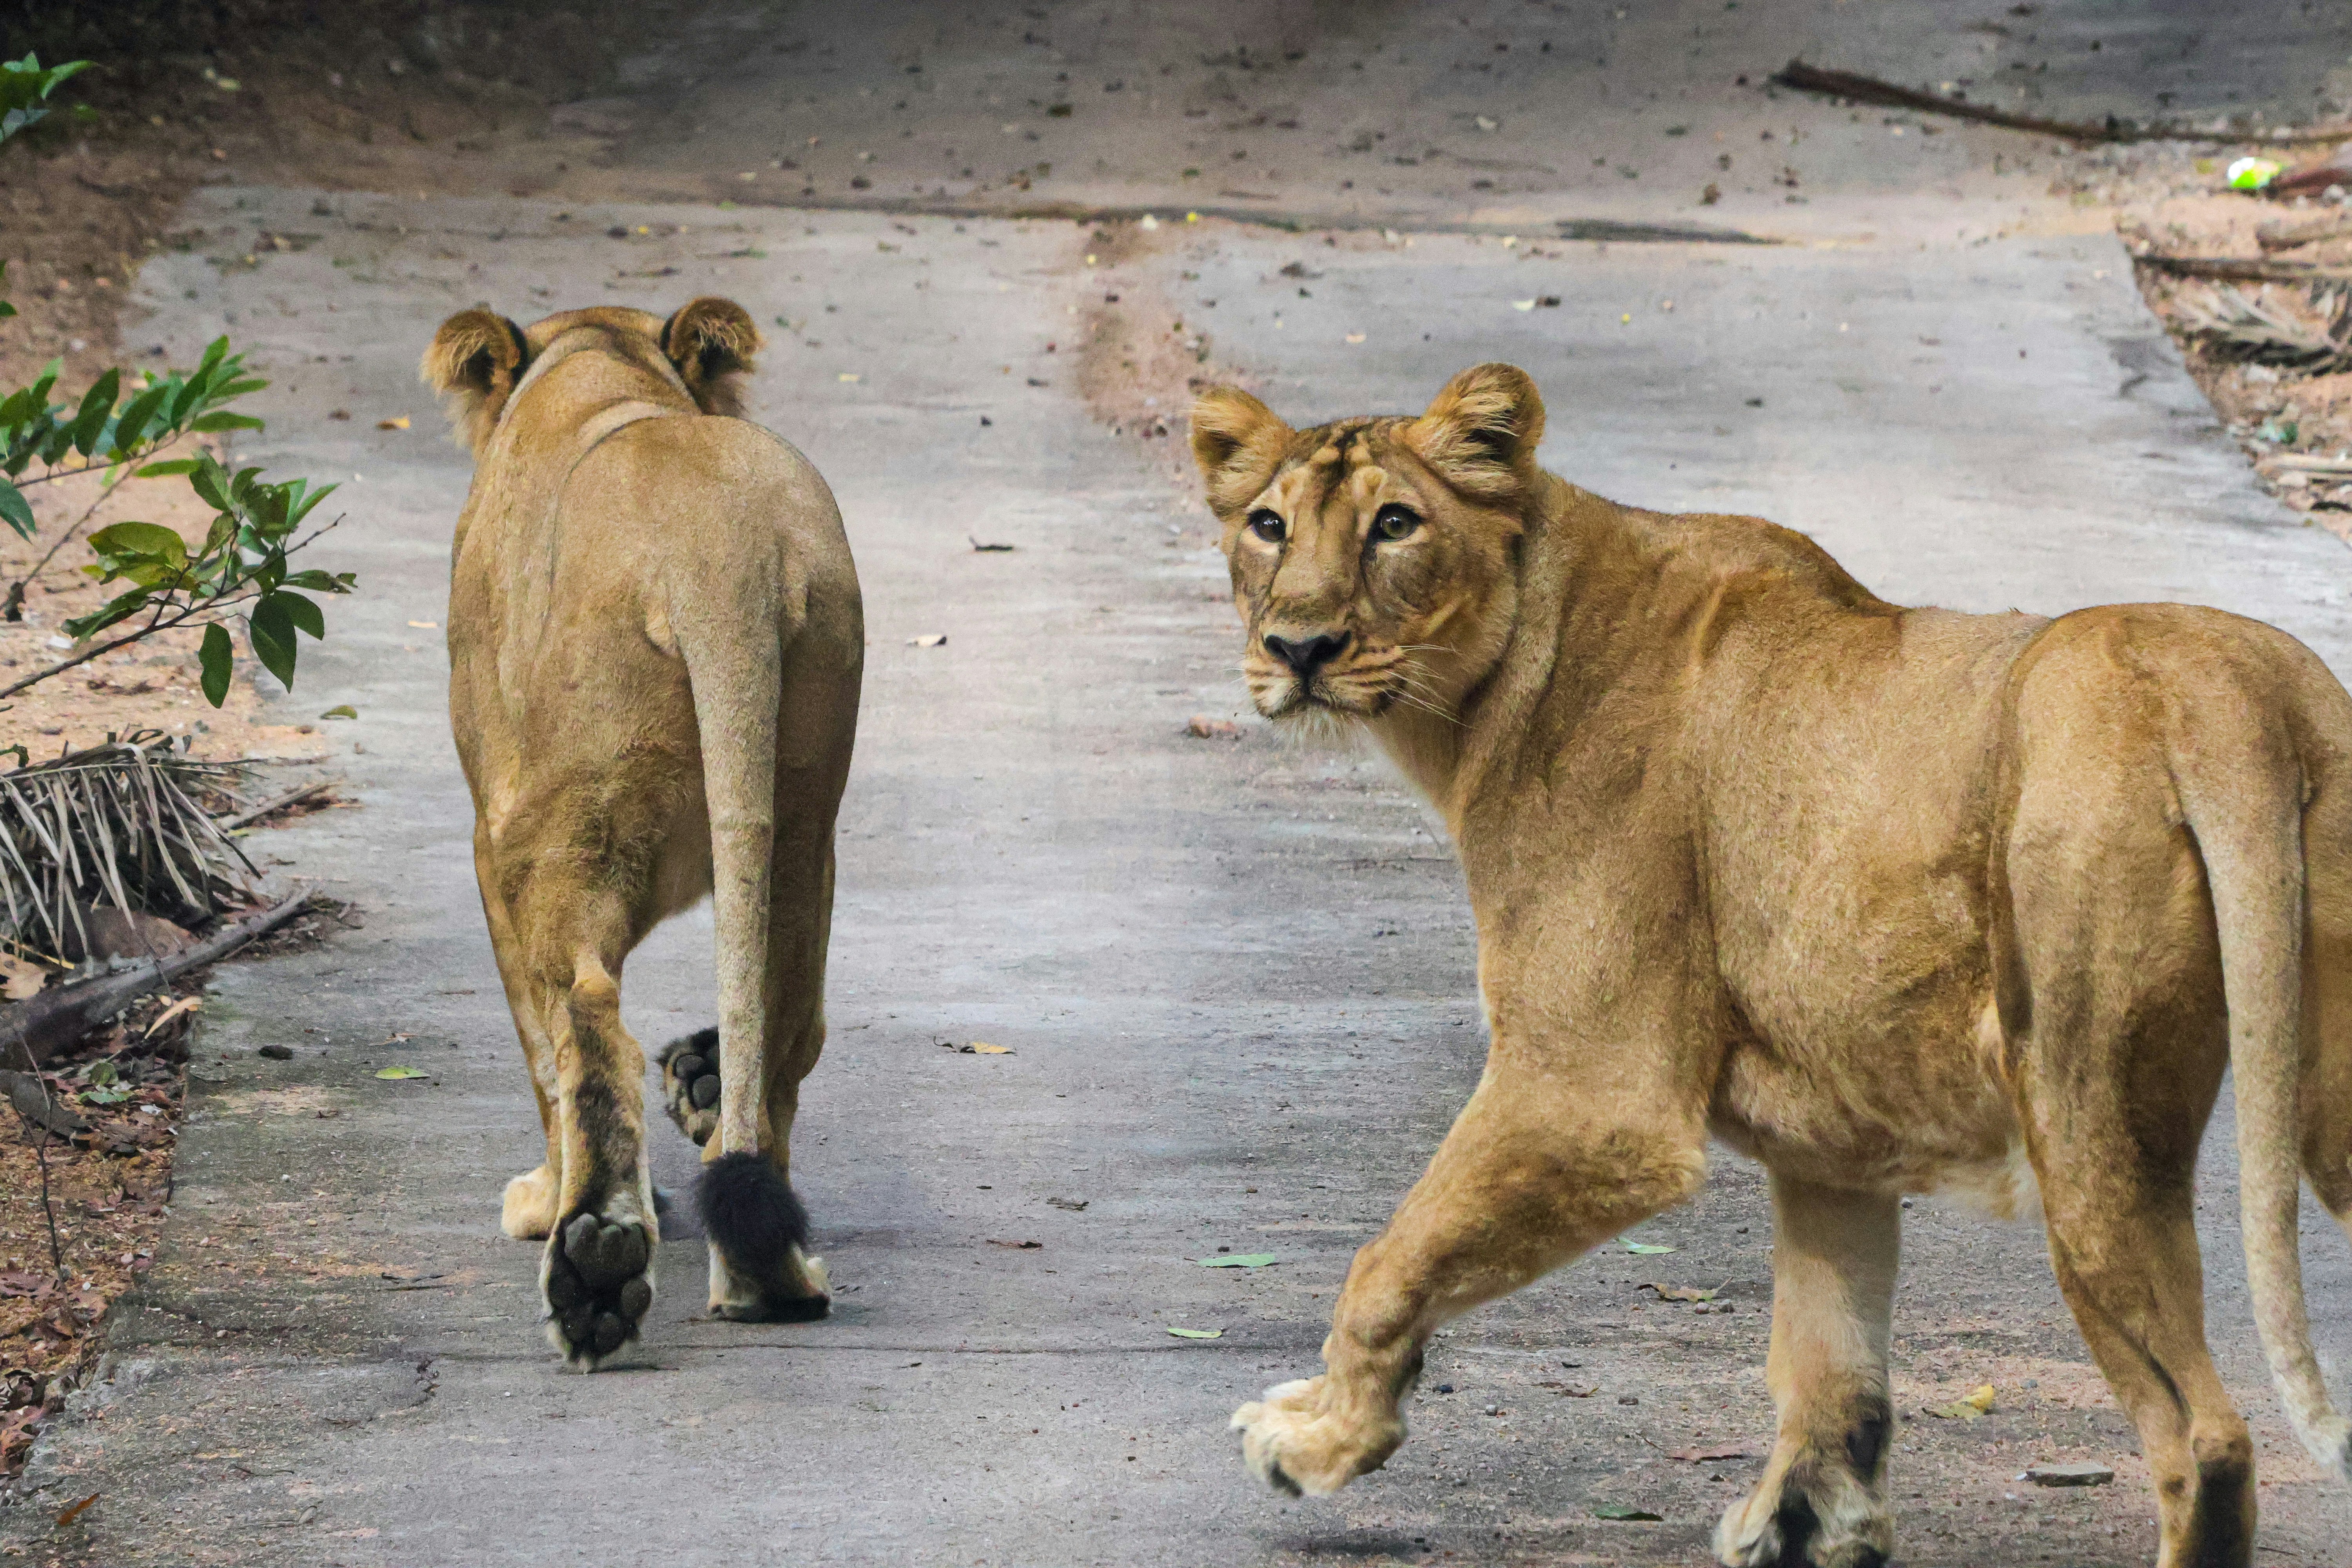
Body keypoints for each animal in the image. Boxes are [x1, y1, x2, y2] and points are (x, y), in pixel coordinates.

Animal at [425, 299, 861, 1367]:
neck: (600, 356)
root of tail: (722, 549)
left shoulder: (490, 836)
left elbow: (541, 1048)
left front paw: (543, 1203)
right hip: (806, 822)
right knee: (781, 1025)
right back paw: (769, 1277)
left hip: (561, 830)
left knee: (586, 1022)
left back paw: (593, 1260)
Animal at [1190, 363, 2352, 1567]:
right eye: (1268, 526)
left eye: (1396, 524)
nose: (1299, 650)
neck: (1489, 693)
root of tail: (2225, 689)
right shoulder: (1837, 1137)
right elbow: (1827, 1359)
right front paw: (1807, 1522)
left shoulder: (1592, 1094)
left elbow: (1390, 1259)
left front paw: (1316, 1438)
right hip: (2322, 1115)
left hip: (2085, 1113)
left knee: (2204, 1438)